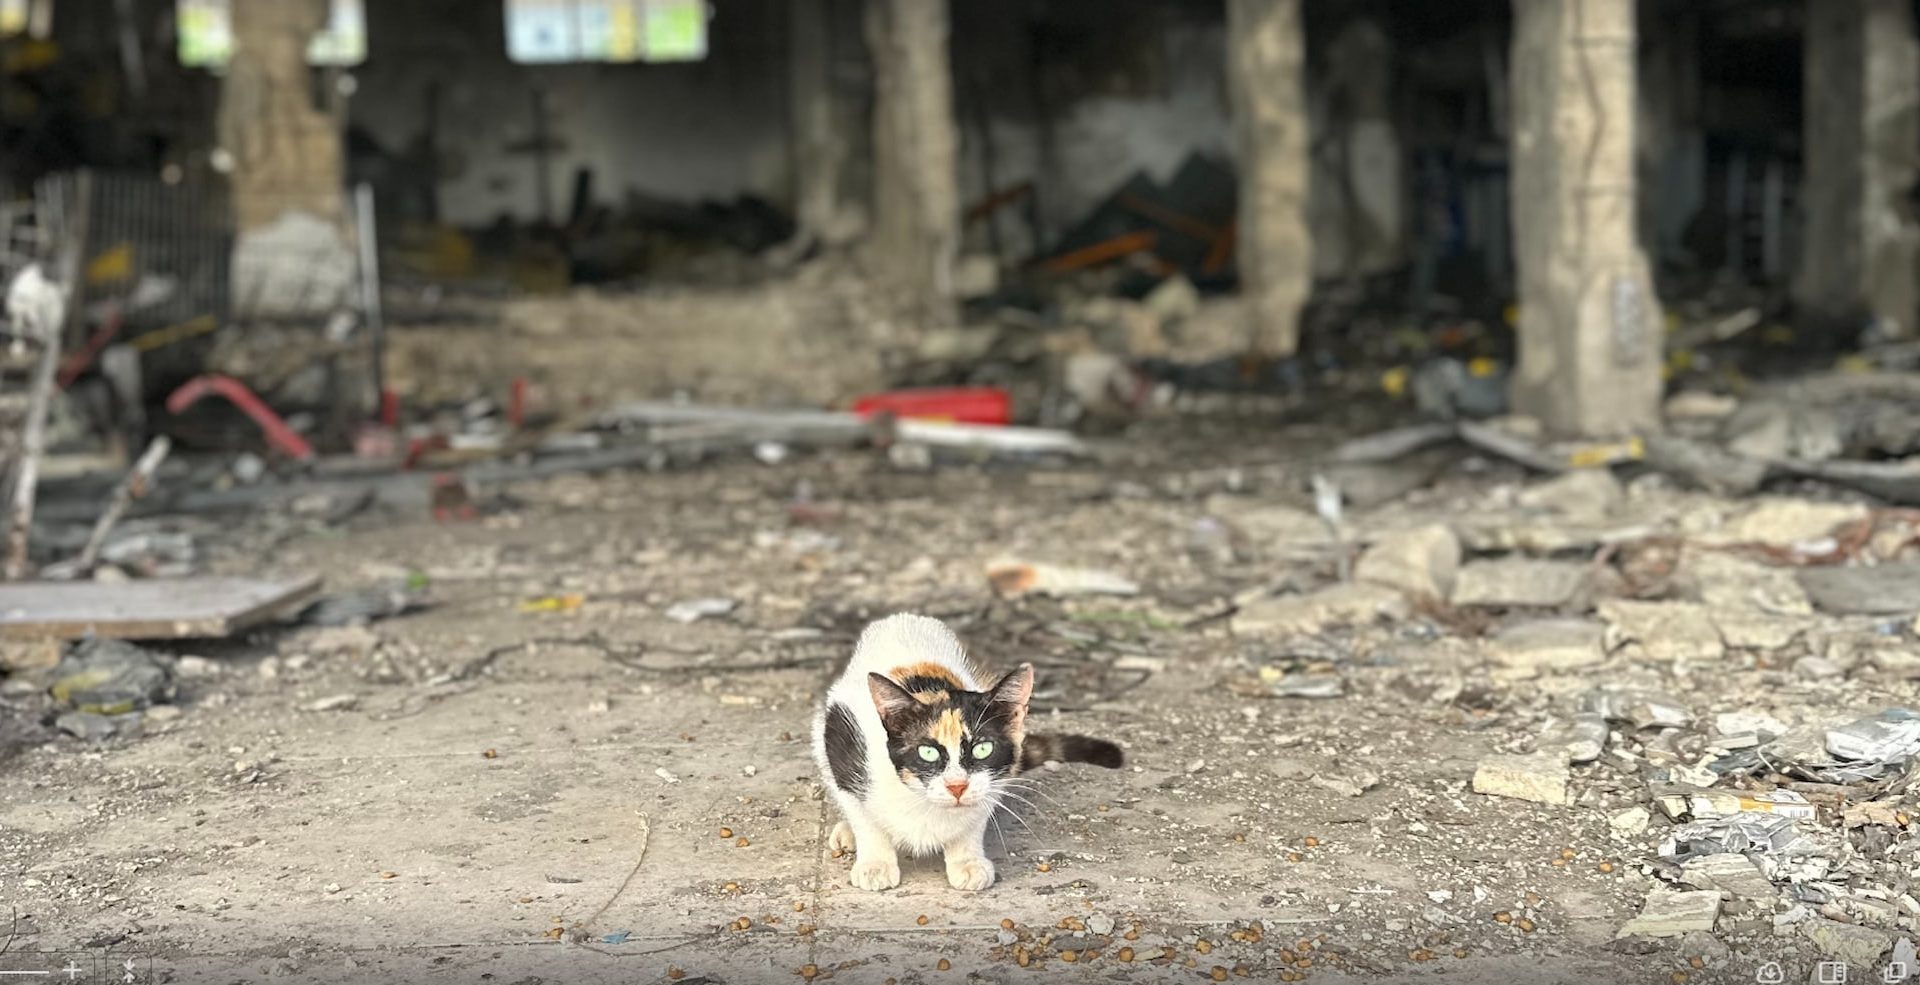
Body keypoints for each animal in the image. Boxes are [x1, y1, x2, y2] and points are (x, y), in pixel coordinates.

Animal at [810, 610, 1121, 887]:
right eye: (928, 752)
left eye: (983, 749)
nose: (957, 786)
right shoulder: (841, 737)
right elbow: (863, 816)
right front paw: (875, 864)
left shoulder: (994, 781)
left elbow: (975, 817)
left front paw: (967, 861)